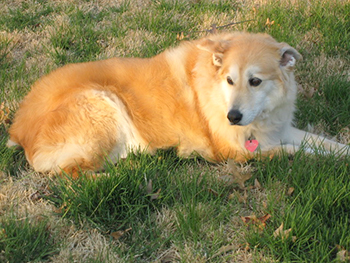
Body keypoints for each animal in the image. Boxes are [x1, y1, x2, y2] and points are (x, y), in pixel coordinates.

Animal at [6, 32, 348, 177]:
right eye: (229, 80)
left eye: (255, 81)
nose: (233, 116)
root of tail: (18, 127)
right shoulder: (236, 153)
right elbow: (298, 152)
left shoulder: (280, 130)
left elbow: (324, 143)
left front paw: (341, 151)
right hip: (104, 102)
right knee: (72, 173)